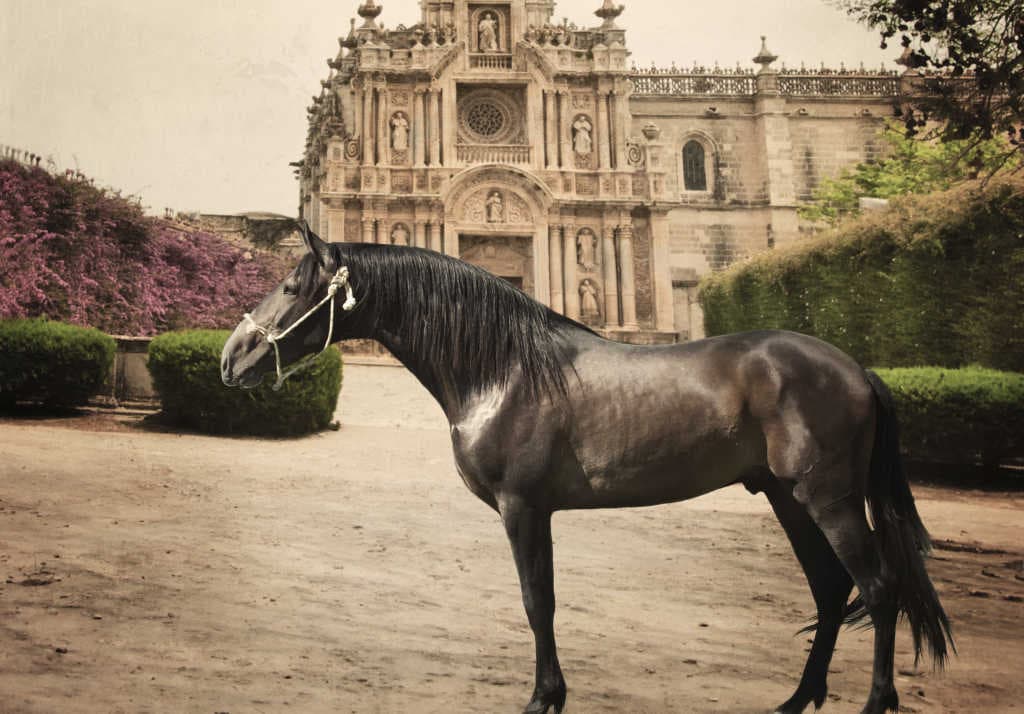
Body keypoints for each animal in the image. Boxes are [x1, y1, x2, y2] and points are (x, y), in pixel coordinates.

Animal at [220, 223, 953, 714]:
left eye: (292, 284)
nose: (232, 356)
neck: (504, 368)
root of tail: (854, 368)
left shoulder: (523, 508)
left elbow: (536, 602)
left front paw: (544, 698)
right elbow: (541, 601)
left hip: (829, 500)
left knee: (877, 587)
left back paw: (873, 701)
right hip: (787, 498)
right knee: (831, 590)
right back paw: (796, 699)